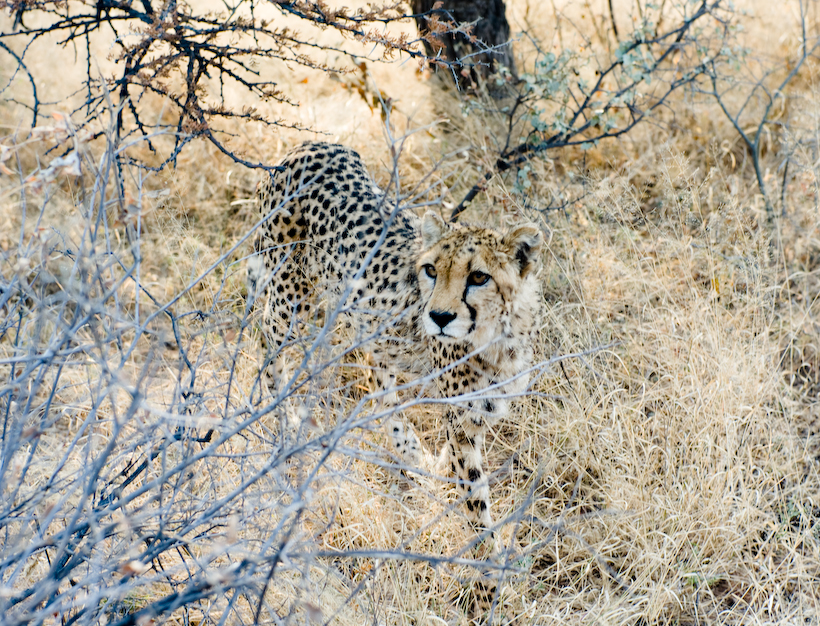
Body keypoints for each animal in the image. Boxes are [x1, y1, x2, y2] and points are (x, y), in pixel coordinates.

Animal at [248, 140, 544, 596]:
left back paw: (410, 452)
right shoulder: (461, 421)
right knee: (269, 338)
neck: (500, 333)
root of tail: (309, 145)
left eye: (479, 276)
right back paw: (282, 421)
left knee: (376, 375)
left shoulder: (482, 410)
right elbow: (476, 504)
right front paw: (488, 584)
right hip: (290, 296)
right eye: (431, 270)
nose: (438, 317)